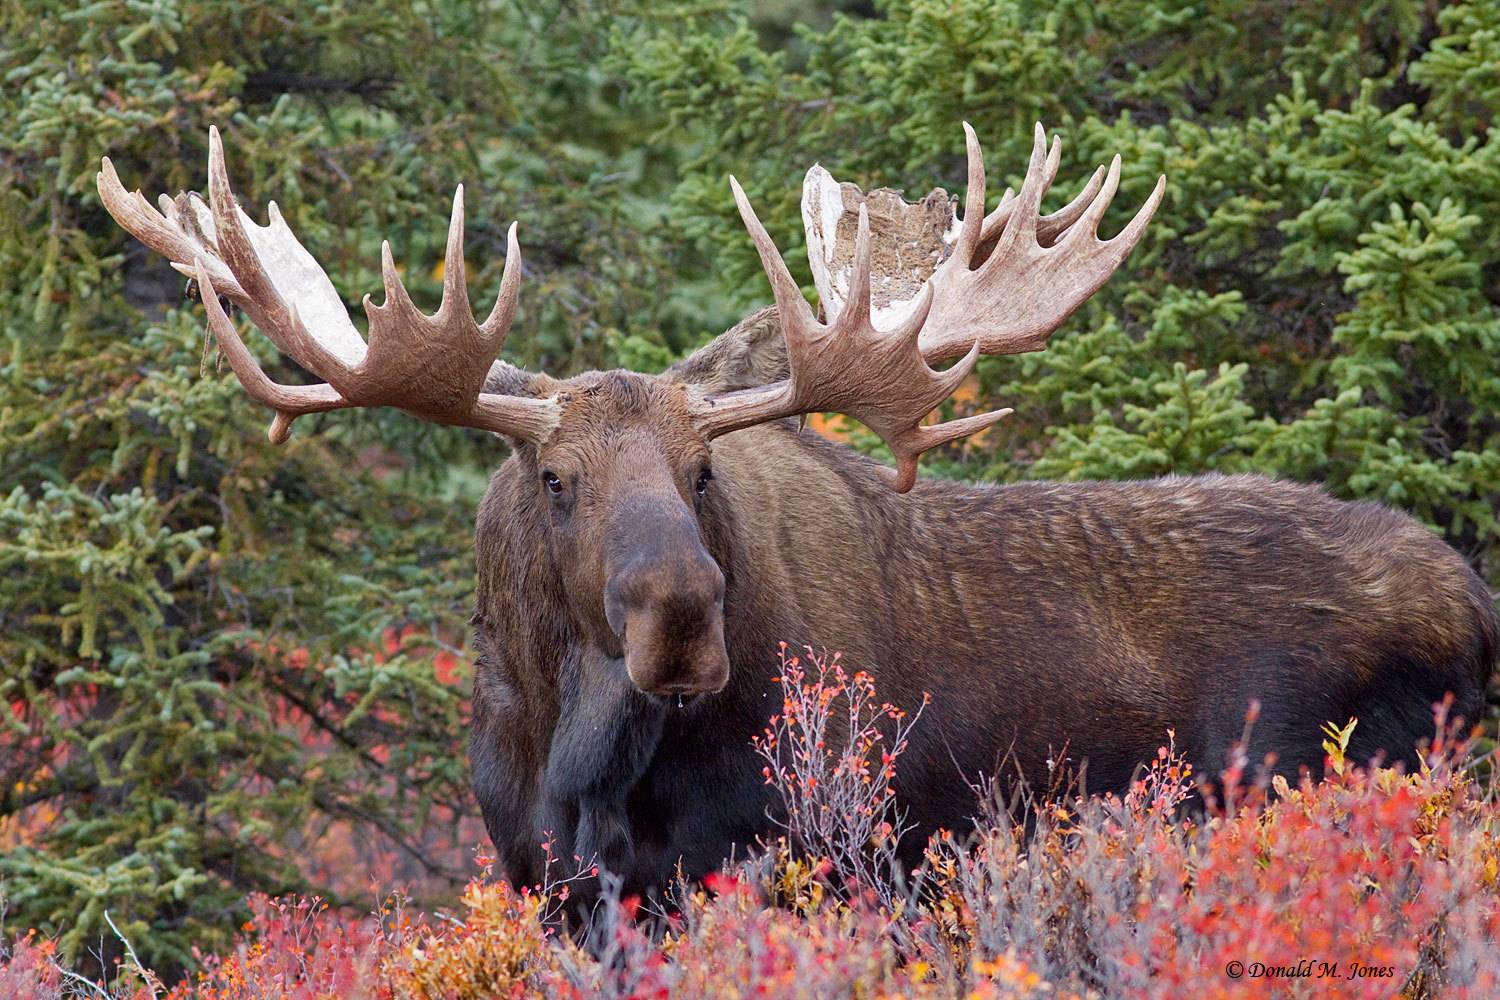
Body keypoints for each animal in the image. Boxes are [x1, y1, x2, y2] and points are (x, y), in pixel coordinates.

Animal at [98, 124, 1498, 899]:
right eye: (553, 480)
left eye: (702, 473)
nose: (679, 615)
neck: (574, 757)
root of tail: (1475, 599)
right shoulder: (546, 881)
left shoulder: (816, 853)